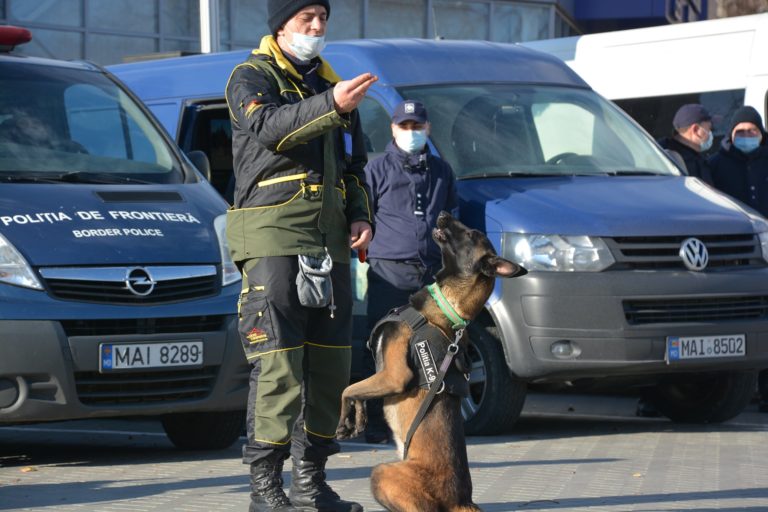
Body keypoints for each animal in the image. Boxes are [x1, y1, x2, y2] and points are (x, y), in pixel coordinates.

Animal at [338, 210, 528, 510]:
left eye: (470, 234)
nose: (444, 213)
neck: (446, 306)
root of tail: (462, 499)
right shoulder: (381, 377)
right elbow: (359, 391)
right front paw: (357, 418)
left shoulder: (393, 376)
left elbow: (347, 389)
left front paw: (343, 419)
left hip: (382, 472)